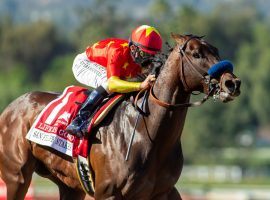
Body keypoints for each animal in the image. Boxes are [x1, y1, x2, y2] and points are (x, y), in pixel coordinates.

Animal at [0, 33, 240, 199]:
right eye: (197, 54)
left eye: (217, 51)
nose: (232, 83)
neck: (148, 133)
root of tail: (11, 107)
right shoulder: (108, 192)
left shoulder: (166, 192)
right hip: (16, 176)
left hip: (69, 185)